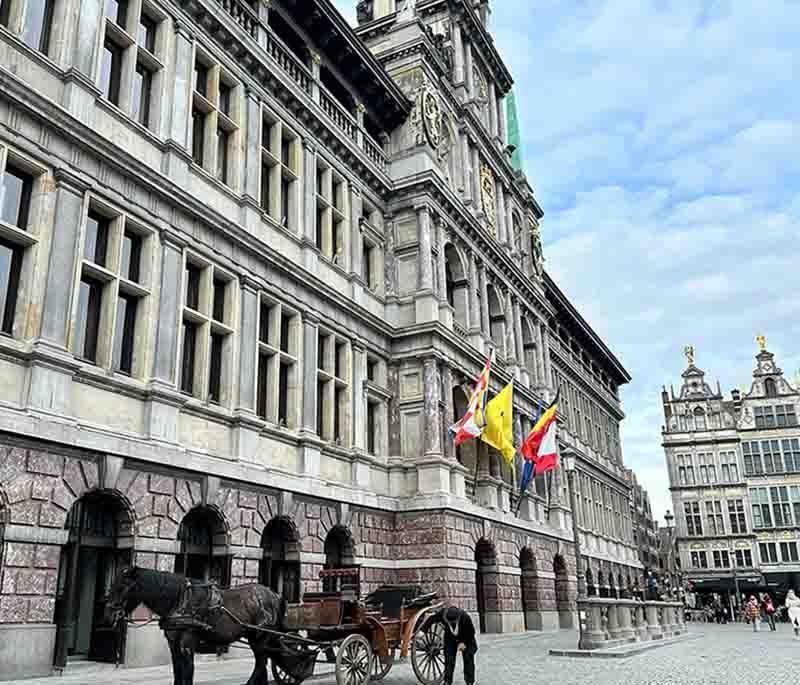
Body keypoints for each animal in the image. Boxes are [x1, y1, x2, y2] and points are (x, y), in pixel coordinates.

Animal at [104, 568, 290, 684]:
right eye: (112, 585)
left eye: (123, 587)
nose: (109, 615)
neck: (180, 600)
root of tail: (274, 595)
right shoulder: (173, 644)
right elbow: (177, 671)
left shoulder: (187, 643)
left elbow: (188, 671)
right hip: (256, 638)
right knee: (262, 664)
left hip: (260, 638)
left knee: (260, 664)